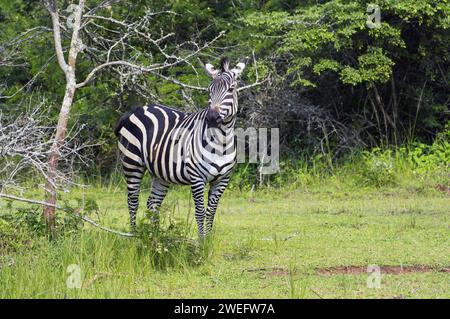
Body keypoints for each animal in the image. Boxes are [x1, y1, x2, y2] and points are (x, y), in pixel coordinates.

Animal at [112, 57, 246, 238]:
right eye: (209, 90)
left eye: (231, 89)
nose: (212, 118)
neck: (221, 142)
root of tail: (136, 110)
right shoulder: (197, 178)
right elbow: (200, 212)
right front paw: (202, 242)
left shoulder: (222, 180)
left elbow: (211, 212)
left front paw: (209, 241)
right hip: (132, 163)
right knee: (133, 201)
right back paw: (134, 236)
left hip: (159, 172)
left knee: (152, 203)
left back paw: (154, 237)